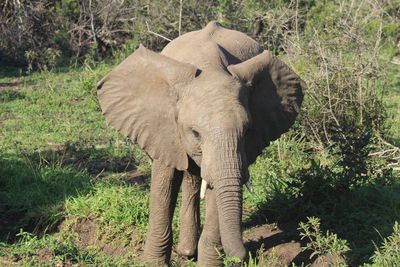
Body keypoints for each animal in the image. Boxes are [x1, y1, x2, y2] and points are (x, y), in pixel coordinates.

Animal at [97, 21, 304, 267]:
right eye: (195, 133)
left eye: (247, 132)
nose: (243, 255)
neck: (210, 67)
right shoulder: (163, 128)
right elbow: (163, 184)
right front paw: (152, 263)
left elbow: (216, 190)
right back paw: (186, 251)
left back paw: (188, 251)